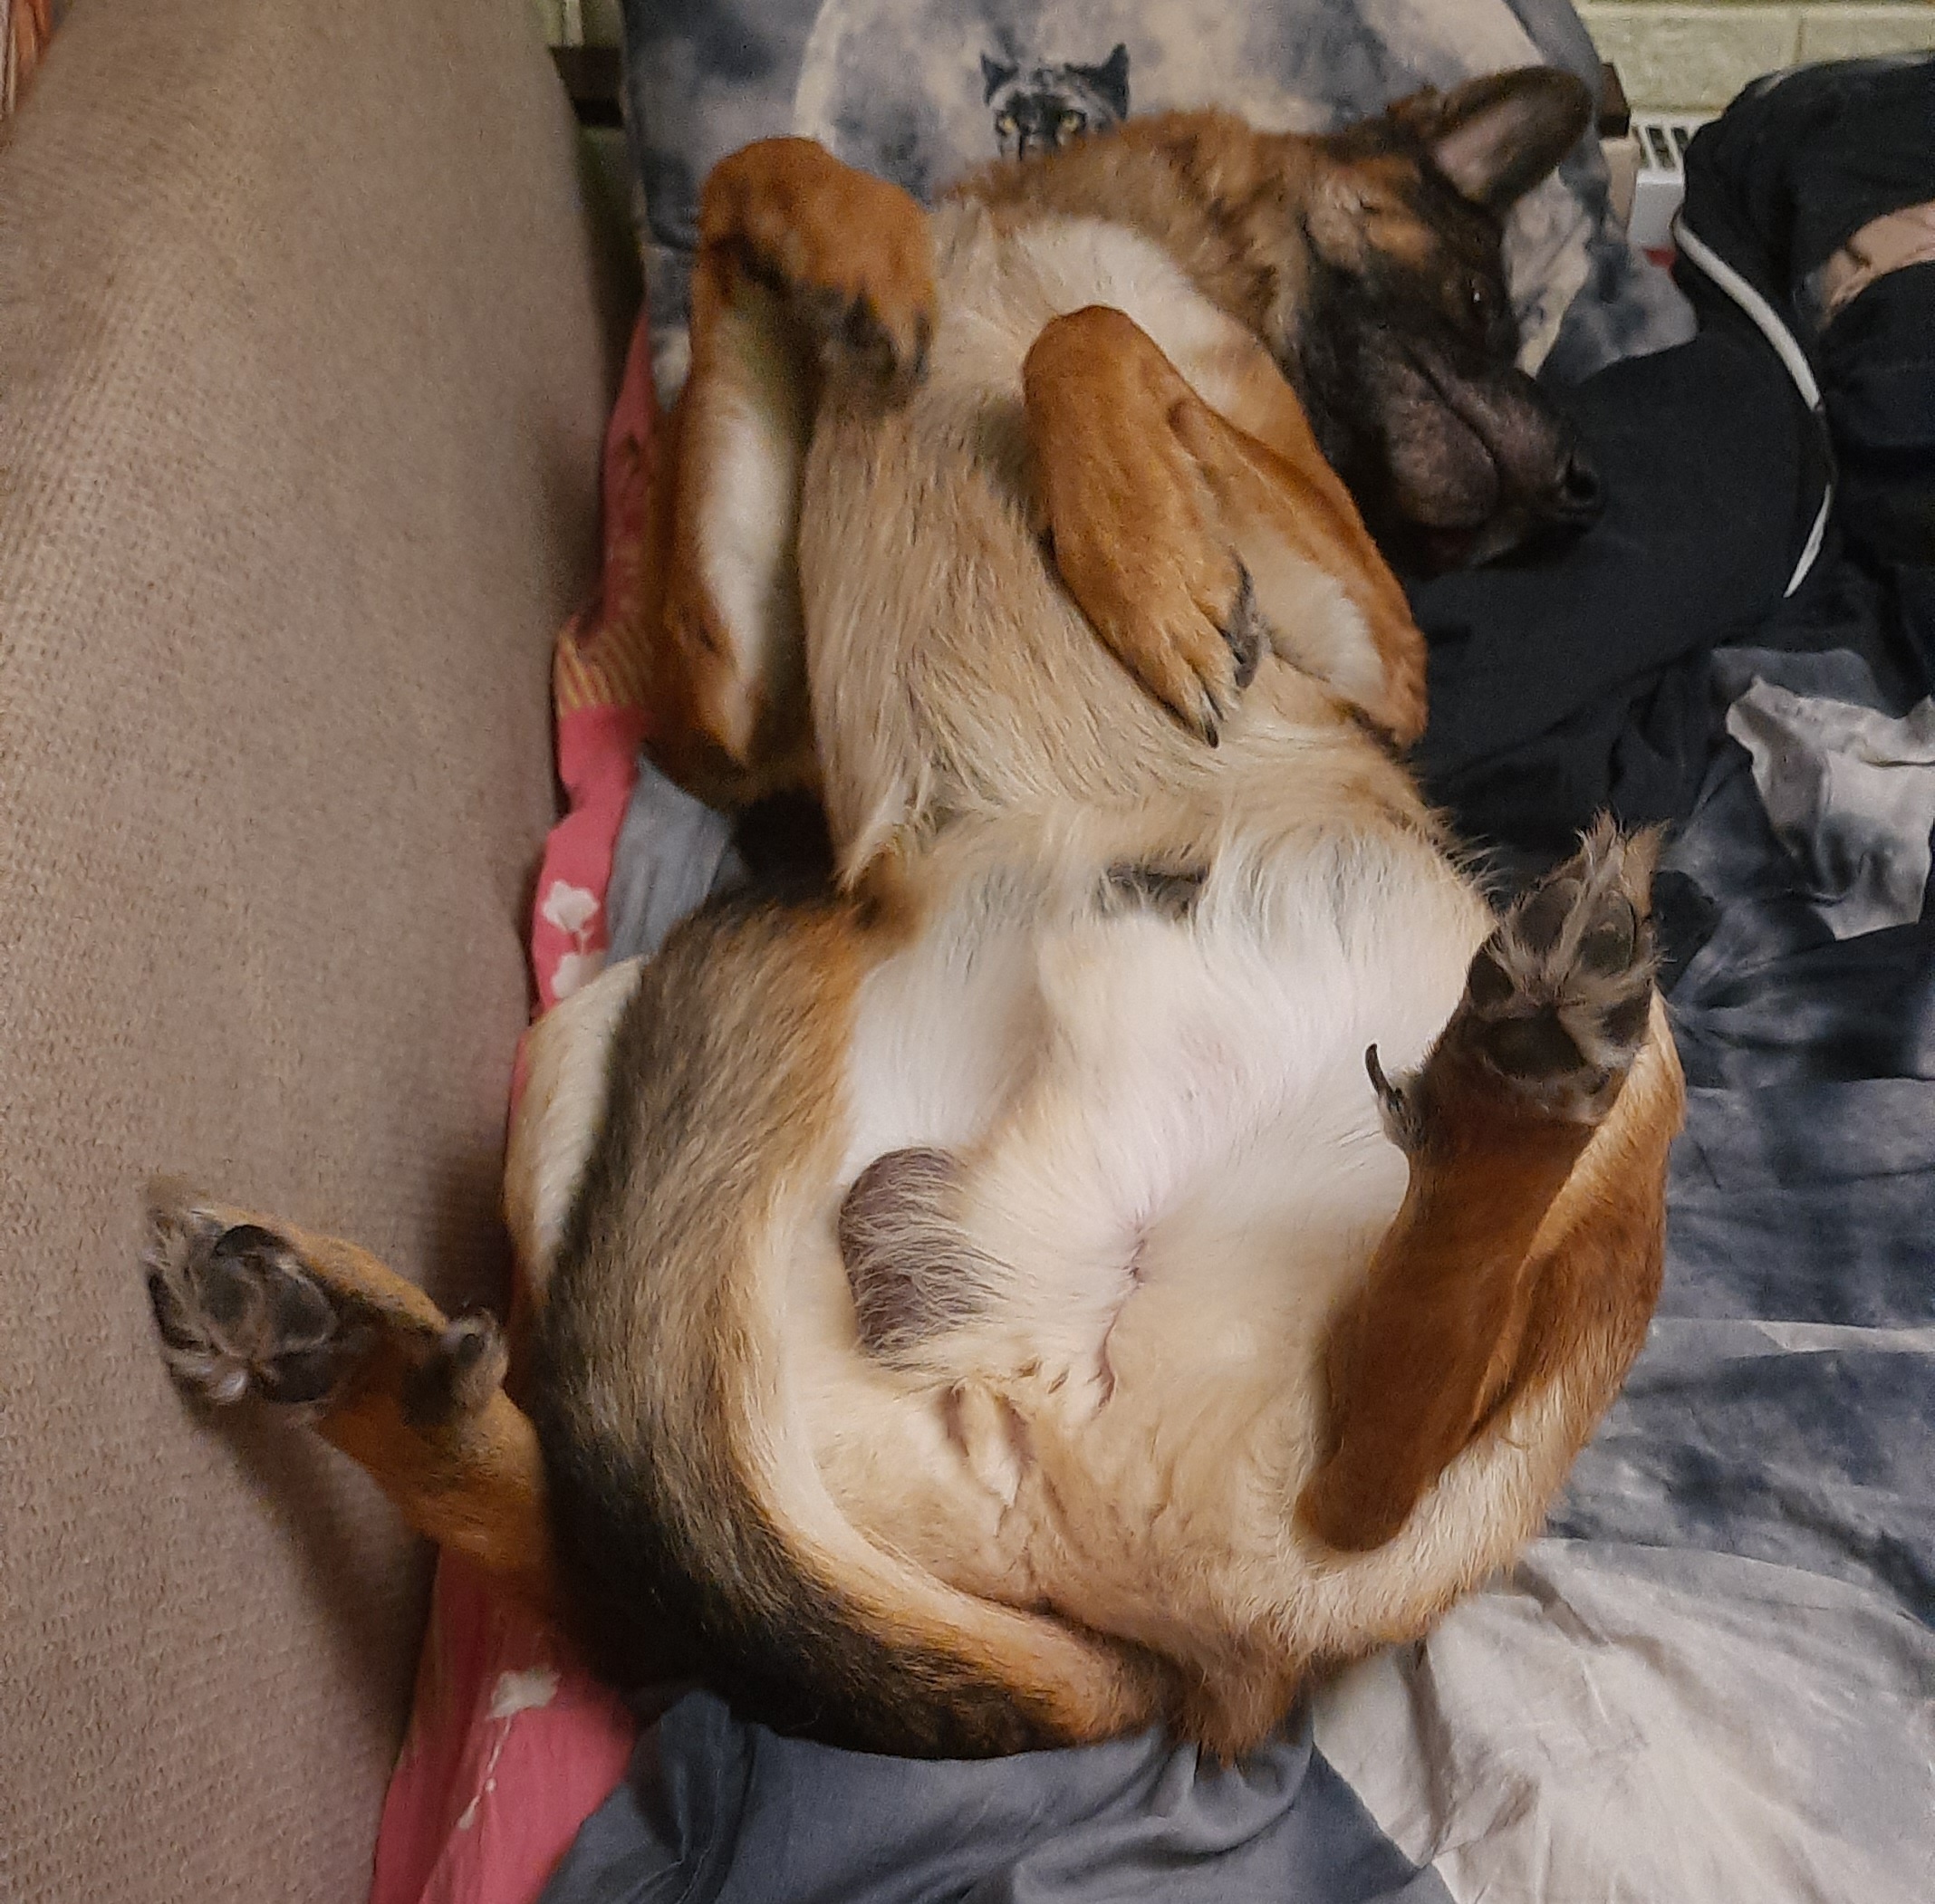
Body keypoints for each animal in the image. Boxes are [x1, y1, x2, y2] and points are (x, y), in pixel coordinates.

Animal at [148, 69, 1680, 1763]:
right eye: (1477, 299)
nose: (1583, 490)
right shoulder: (733, 714)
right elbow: (774, 184)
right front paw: (850, 254)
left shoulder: (1369, 639)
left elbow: (1086, 329)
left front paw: (1139, 560)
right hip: (579, 1057)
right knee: (629, 1598)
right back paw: (357, 1366)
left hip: (1614, 1074)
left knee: (1372, 1462)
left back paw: (1518, 1078)